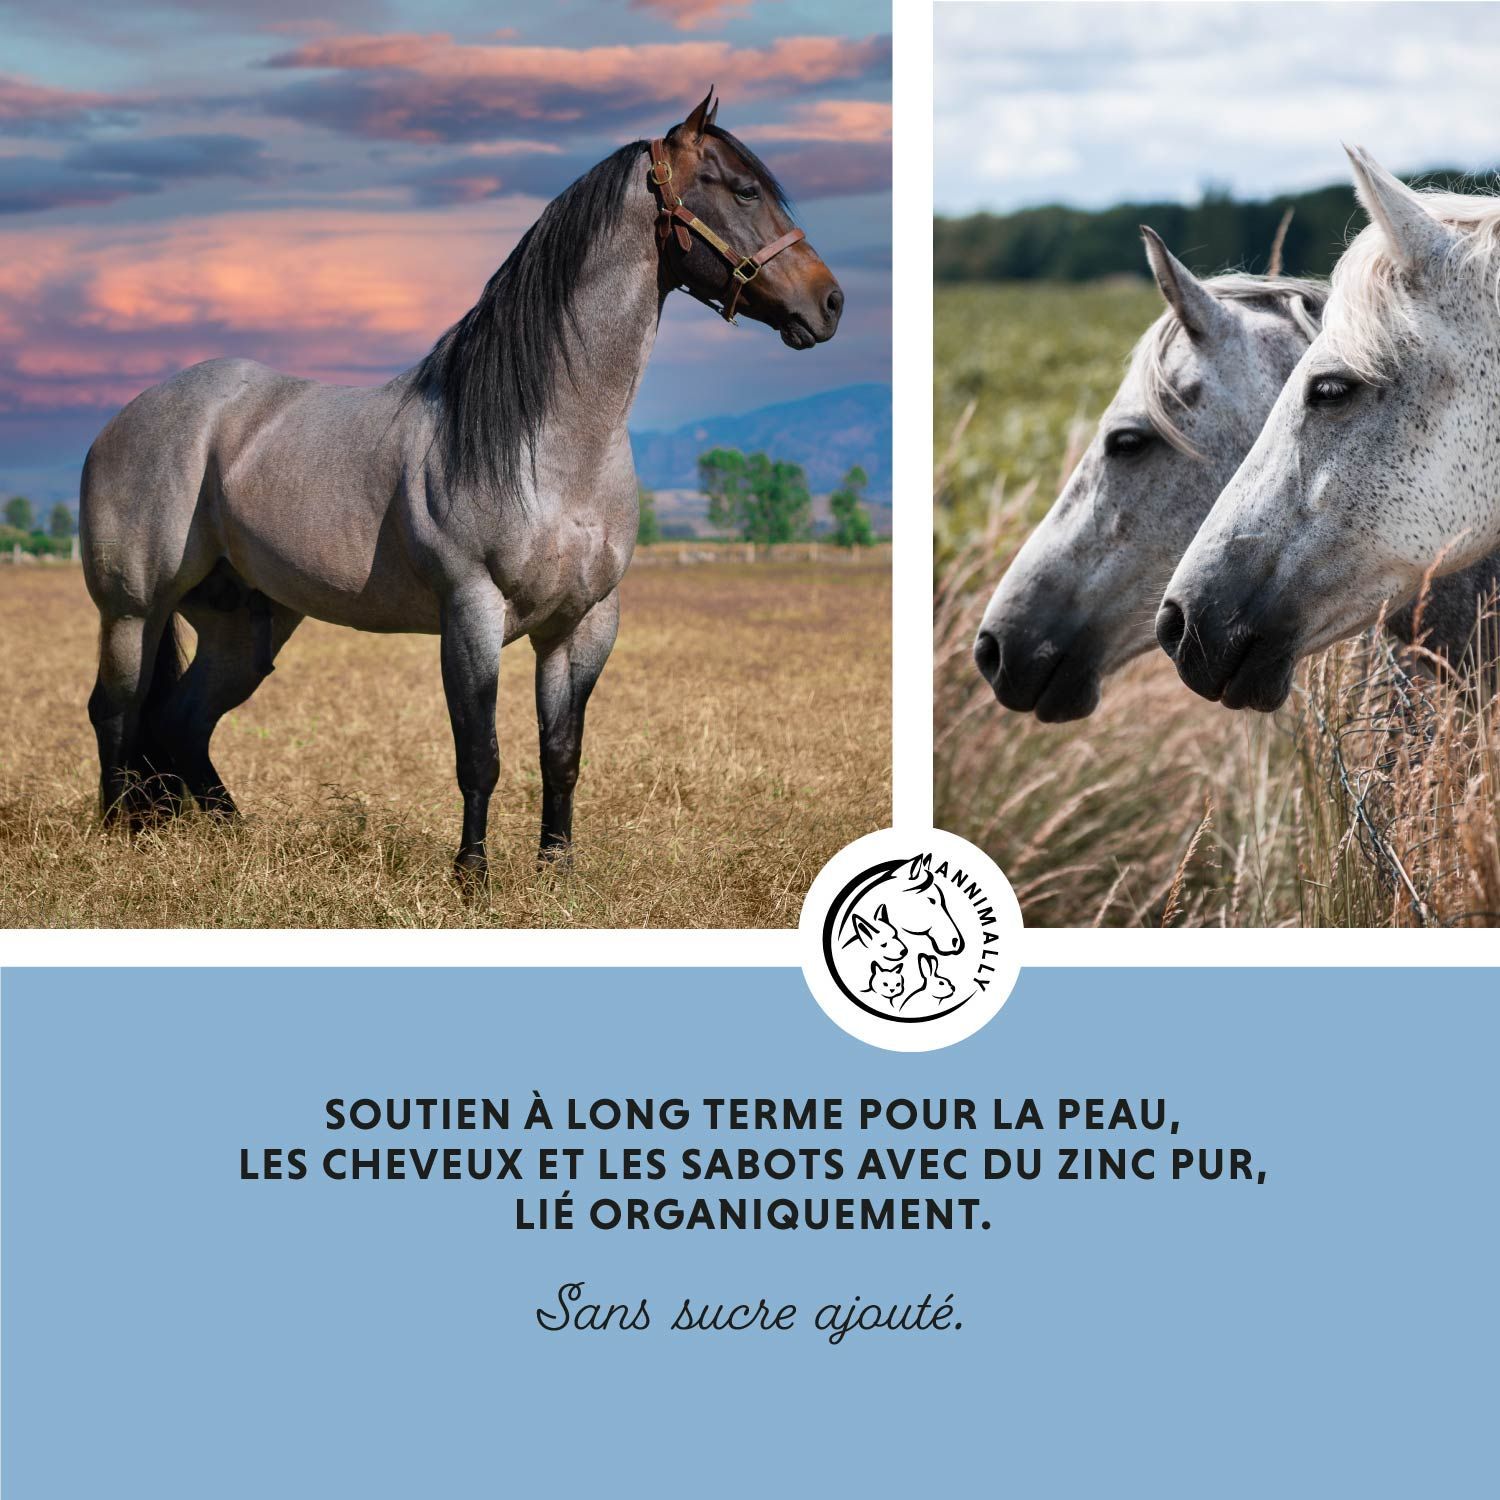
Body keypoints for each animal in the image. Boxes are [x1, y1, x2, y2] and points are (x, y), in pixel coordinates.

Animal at [78, 90, 844, 883]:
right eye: (744, 190)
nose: (829, 303)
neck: (552, 445)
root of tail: (126, 419)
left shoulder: (584, 623)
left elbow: (561, 753)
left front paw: (556, 872)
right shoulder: (471, 613)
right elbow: (480, 756)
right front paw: (472, 876)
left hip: (245, 625)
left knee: (182, 724)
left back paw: (235, 839)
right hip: (133, 610)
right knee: (116, 710)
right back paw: (118, 838)